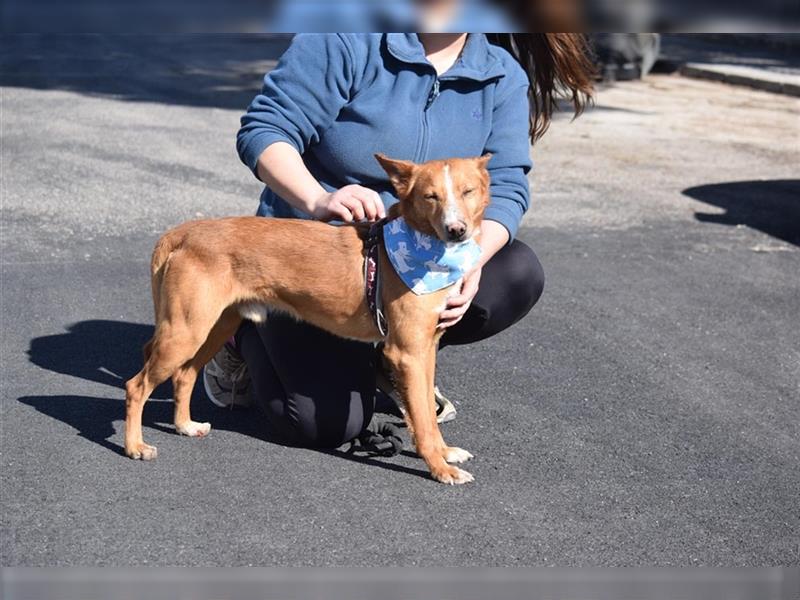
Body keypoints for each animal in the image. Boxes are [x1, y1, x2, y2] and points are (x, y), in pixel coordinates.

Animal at [122, 154, 490, 482]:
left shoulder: (424, 352)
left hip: (214, 326)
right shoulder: (406, 354)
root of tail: (183, 231)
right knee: (136, 386)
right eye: (430, 196)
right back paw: (135, 446)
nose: (456, 230)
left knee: (185, 375)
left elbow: (425, 412)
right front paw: (439, 469)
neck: (424, 250)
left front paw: (445, 453)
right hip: (186, 331)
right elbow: (423, 422)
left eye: (467, 191)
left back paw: (185, 425)